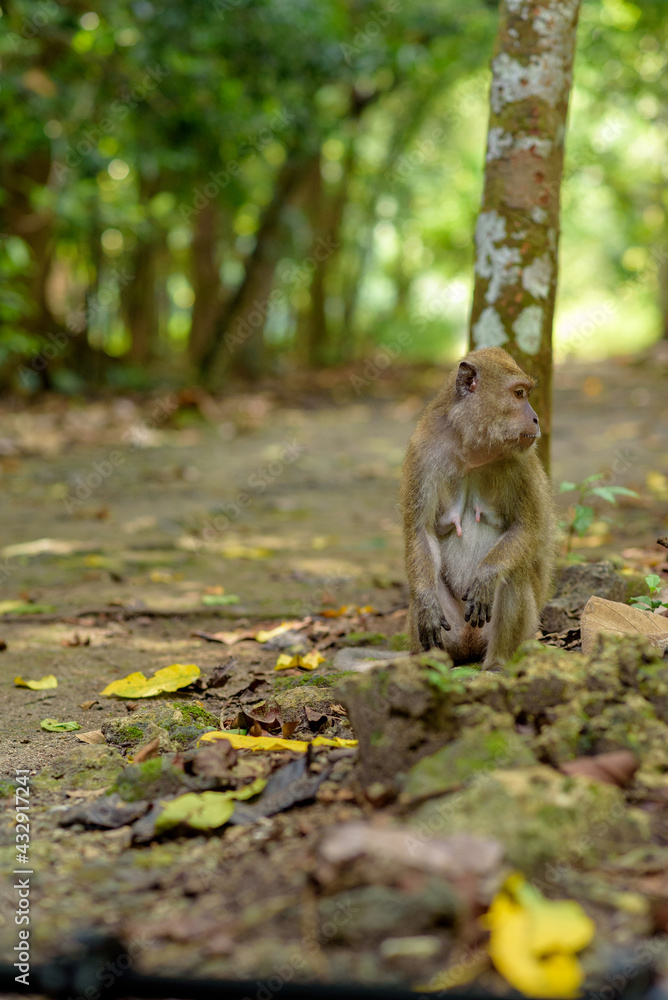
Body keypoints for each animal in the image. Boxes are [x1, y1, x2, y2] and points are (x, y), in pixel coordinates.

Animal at [400, 346, 555, 668]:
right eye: (519, 394)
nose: (535, 419)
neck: (473, 449)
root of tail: (470, 647)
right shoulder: (423, 452)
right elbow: (421, 531)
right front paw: (427, 604)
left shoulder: (522, 463)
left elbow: (528, 528)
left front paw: (485, 577)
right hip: (455, 629)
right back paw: (431, 666)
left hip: (518, 633)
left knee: (514, 575)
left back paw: (496, 664)